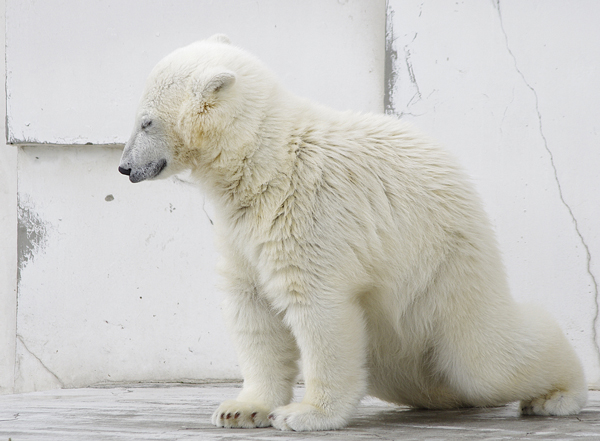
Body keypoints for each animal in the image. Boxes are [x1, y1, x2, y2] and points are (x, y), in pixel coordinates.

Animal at [117, 34, 584, 430]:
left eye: (146, 122)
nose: (123, 167)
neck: (262, 162)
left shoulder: (308, 214)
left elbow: (317, 308)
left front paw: (305, 414)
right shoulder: (241, 232)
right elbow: (253, 308)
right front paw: (241, 409)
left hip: (446, 274)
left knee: (486, 361)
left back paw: (558, 394)